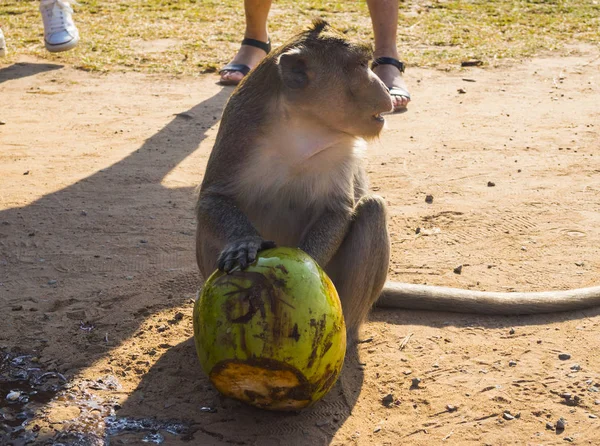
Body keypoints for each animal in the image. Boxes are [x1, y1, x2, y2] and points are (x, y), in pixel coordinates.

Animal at [197, 20, 600, 342]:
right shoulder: (242, 124)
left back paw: (347, 335)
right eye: (360, 66)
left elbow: (338, 210)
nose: (382, 86)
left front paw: (303, 268)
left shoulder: (345, 149)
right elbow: (213, 199)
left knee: (372, 210)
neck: (304, 123)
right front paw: (244, 243)